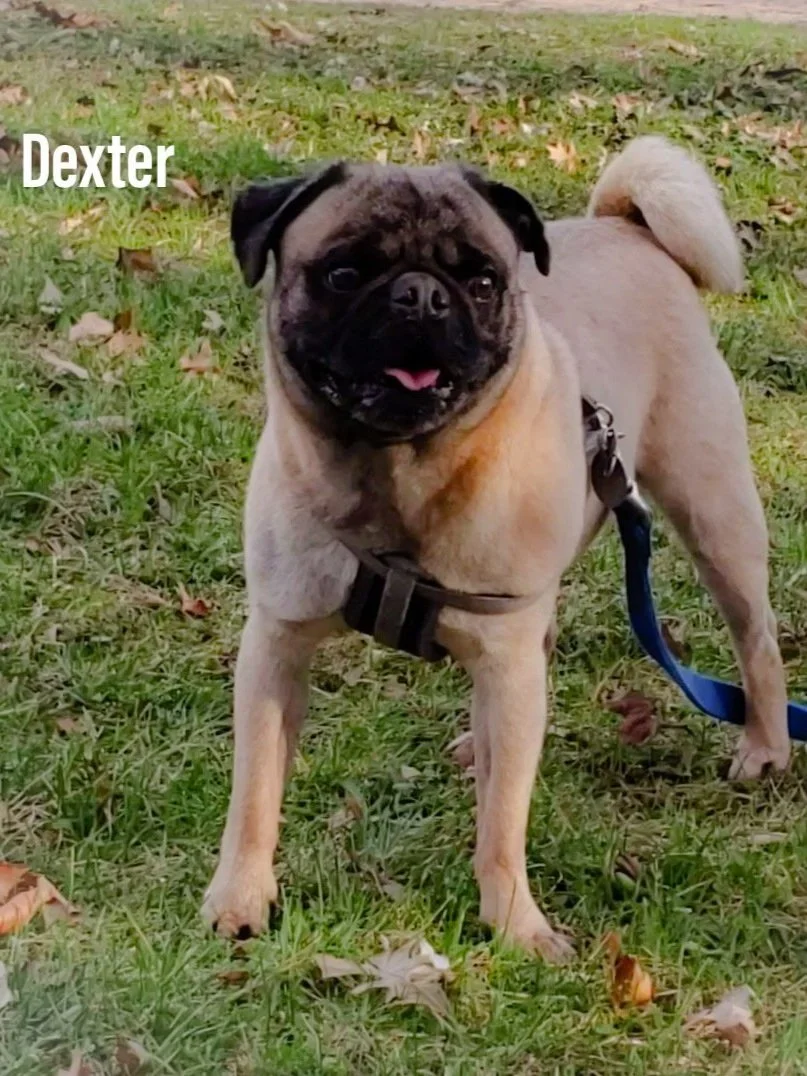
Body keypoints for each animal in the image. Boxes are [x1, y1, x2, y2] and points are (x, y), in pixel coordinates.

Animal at [202, 137, 791, 960]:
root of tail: (627, 227)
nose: (419, 295)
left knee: (756, 639)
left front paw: (513, 924)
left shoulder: (502, 660)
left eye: (481, 281)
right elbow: (254, 791)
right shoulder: (277, 646)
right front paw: (240, 897)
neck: (398, 474)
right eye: (343, 273)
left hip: (714, 516)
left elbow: (503, 826)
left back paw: (765, 747)